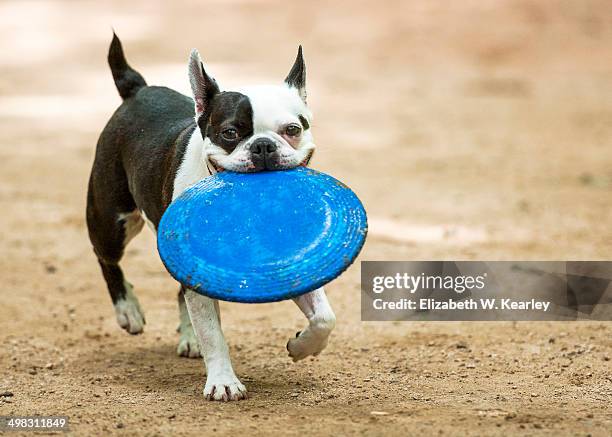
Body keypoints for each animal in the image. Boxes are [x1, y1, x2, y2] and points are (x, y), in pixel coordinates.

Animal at [85, 34, 334, 400]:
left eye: (292, 129)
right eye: (230, 132)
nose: (263, 145)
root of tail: (137, 89)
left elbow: (324, 317)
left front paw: (303, 346)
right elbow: (213, 333)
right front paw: (224, 382)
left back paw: (188, 337)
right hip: (112, 220)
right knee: (107, 259)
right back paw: (128, 309)